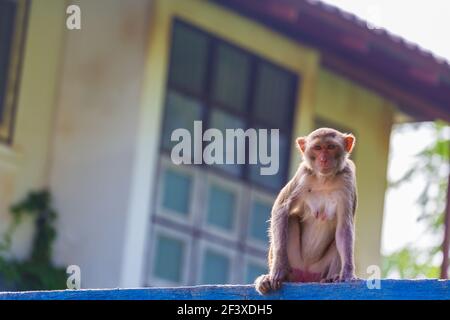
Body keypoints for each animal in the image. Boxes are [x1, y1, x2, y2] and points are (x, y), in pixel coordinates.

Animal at [255, 126, 356, 294]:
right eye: (318, 148)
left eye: (330, 147)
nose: (323, 159)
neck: (325, 179)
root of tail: (305, 274)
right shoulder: (302, 174)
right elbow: (281, 209)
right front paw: (278, 269)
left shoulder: (348, 179)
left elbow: (344, 228)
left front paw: (347, 273)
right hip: (295, 264)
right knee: (290, 219)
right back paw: (269, 279)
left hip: (319, 269)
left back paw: (331, 278)